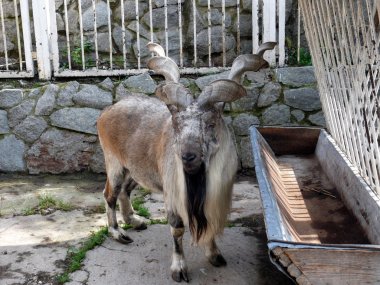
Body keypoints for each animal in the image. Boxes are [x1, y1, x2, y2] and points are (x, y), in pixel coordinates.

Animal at [97, 41, 276, 280]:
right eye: (176, 123)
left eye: (210, 123)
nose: (187, 156)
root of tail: (107, 111)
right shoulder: (173, 196)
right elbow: (177, 229)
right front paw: (179, 269)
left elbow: (211, 227)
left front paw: (215, 256)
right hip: (114, 163)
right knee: (110, 194)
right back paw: (118, 233)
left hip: (135, 169)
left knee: (126, 190)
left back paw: (135, 221)